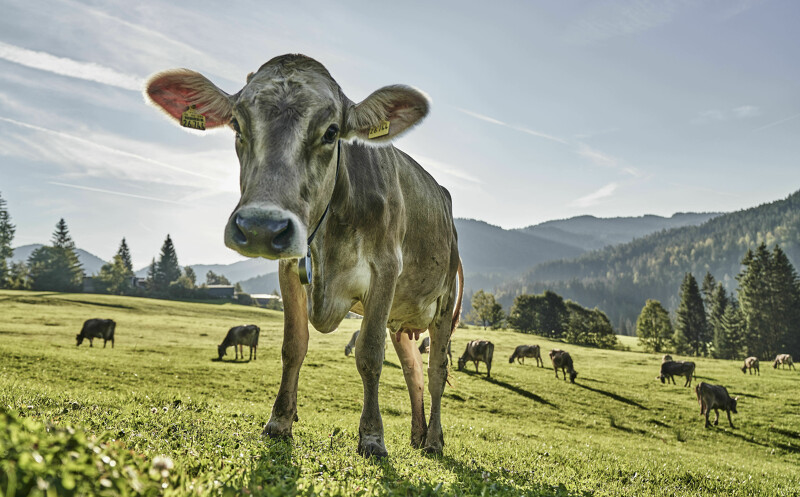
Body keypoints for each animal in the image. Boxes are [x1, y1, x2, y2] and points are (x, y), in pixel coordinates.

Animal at [147, 55, 466, 458]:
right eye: (237, 124)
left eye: (331, 132)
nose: (261, 227)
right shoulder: (289, 270)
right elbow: (293, 346)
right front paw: (279, 421)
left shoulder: (386, 271)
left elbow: (369, 355)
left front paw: (372, 437)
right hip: (402, 320)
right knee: (415, 372)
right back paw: (417, 435)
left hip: (445, 303)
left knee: (437, 369)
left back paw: (434, 440)